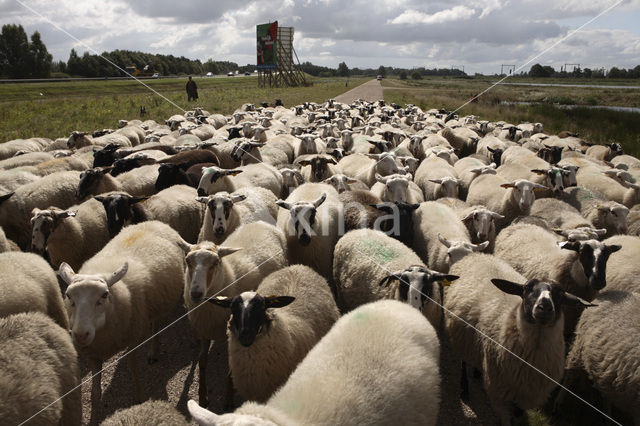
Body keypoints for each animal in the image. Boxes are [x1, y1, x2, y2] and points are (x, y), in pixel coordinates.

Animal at [57, 221, 186, 414]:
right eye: (68, 295)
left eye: (104, 295)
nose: (80, 335)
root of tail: (154, 222)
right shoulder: (93, 353)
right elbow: (95, 390)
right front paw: (96, 409)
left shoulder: (133, 338)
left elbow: (134, 372)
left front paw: (141, 398)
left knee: (155, 323)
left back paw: (153, 350)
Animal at [178, 223, 288, 406]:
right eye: (187, 261)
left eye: (216, 262)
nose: (195, 293)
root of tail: (261, 223)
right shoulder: (204, 328)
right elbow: (202, 361)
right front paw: (202, 396)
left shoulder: (232, 333)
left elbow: (230, 367)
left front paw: (228, 398)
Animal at [442, 251, 592, 424]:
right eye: (527, 288)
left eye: (560, 293)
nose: (545, 307)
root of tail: (477, 254)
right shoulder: (499, 393)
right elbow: (507, 420)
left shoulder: (527, 396)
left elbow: (519, 414)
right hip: (460, 338)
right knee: (463, 361)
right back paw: (464, 388)